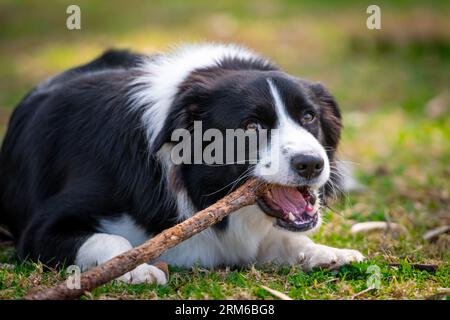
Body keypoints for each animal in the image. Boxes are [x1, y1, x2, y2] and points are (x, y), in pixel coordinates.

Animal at [0, 43, 364, 284]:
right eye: (251, 126)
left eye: (309, 116)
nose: (311, 164)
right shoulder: (40, 229)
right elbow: (108, 239)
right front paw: (135, 268)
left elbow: (286, 239)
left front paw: (324, 252)